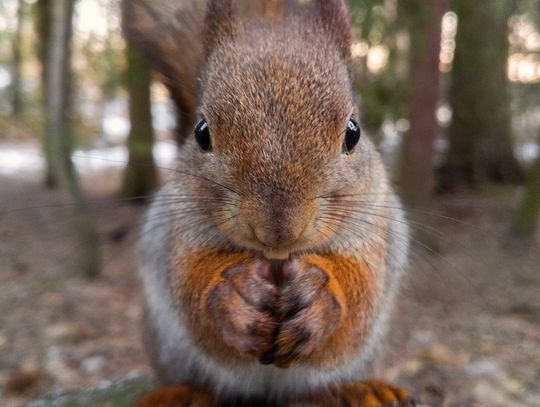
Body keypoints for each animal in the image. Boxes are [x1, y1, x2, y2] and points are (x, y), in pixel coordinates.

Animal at [122, 0, 414, 407]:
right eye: (201, 132)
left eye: (353, 132)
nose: (278, 229)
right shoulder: (180, 227)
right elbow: (191, 283)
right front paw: (234, 300)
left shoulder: (375, 226)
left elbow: (361, 289)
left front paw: (320, 300)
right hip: (166, 345)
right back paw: (180, 392)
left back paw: (360, 389)